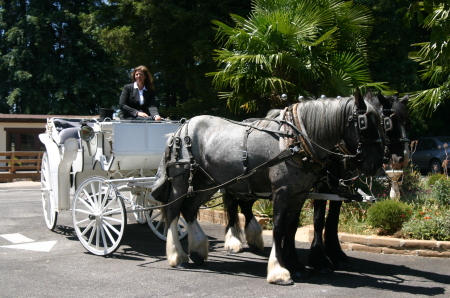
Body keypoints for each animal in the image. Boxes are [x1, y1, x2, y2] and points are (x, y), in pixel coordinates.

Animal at [151, 89, 384, 286]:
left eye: (382, 123)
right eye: (364, 124)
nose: (375, 165)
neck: (296, 139)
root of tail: (181, 128)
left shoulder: (299, 193)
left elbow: (291, 227)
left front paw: (296, 266)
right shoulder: (281, 191)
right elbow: (279, 228)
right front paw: (279, 271)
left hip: (207, 184)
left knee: (189, 210)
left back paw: (198, 250)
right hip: (181, 182)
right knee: (173, 211)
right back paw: (177, 256)